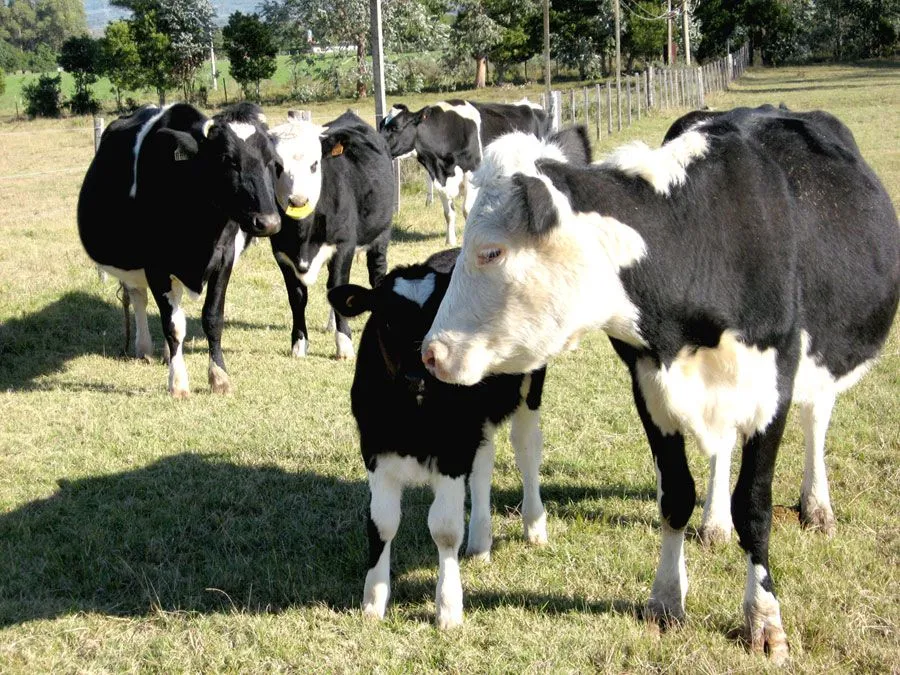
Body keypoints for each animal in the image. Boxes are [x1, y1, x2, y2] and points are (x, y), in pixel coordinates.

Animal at [79, 103, 286, 398]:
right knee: (139, 298)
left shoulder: (224, 258)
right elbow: (173, 326)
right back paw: (144, 348)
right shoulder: (156, 266)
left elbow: (212, 318)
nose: (269, 222)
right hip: (131, 266)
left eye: (273, 162)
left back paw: (166, 354)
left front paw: (219, 377)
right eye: (227, 159)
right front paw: (177, 383)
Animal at [268, 111, 394, 362]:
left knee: (376, 273)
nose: (298, 201)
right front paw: (299, 345)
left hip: (381, 236)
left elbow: (337, 284)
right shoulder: (282, 255)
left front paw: (344, 346)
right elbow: (297, 297)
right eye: (277, 165)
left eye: (314, 164)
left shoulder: (343, 246)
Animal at [326, 251, 544, 632]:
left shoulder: (452, 450)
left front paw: (448, 607)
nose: (418, 374)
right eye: (386, 320)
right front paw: (373, 600)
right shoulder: (375, 449)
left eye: (440, 315)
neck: (414, 412)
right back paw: (480, 543)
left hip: (530, 385)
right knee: (485, 463)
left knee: (526, 448)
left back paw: (534, 526)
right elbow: (381, 523)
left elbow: (445, 529)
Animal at [378, 99, 552, 247]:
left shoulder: (471, 173)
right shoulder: (440, 180)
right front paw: (450, 241)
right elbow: (448, 213)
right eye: (381, 125)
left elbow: (467, 210)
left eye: (395, 127)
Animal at [422, 104, 900, 660]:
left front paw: (764, 617)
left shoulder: (773, 387)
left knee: (816, 418)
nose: (431, 352)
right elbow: (676, 495)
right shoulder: (648, 386)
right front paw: (667, 599)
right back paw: (715, 523)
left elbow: (755, 506)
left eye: (492, 253)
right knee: (720, 448)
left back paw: (816, 505)